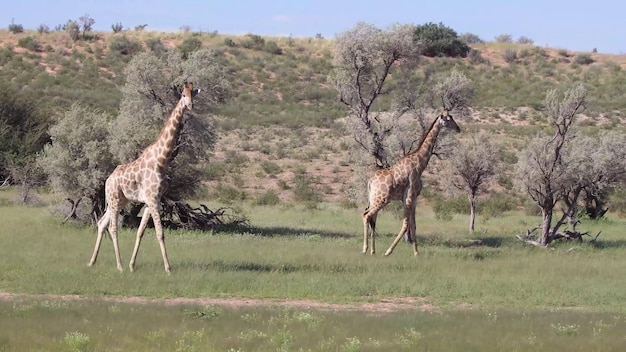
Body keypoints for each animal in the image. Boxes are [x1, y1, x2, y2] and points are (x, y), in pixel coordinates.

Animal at [88, 82, 199, 272]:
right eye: (183, 95)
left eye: (194, 94)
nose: (190, 105)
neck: (161, 160)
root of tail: (108, 180)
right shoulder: (153, 199)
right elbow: (160, 233)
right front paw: (168, 268)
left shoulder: (152, 200)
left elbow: (141, 232)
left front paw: (133, 265)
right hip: (114, 199)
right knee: (113, 227)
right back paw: (119, 265)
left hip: (119, 200)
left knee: (102, 223)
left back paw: (92, 262)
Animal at [360, 108, 458, 258]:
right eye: (449, 119)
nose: (458, 128)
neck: (420, 164)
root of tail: (370, 181)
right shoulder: (409, 197)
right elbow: (406, 225)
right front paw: (388, 251)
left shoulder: (413, 198)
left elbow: (413, 224)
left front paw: (416, 252)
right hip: (381, 199)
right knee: (366, 215)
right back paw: (365, 249)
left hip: (374, 198)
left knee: (372, 218)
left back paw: (373, 251)